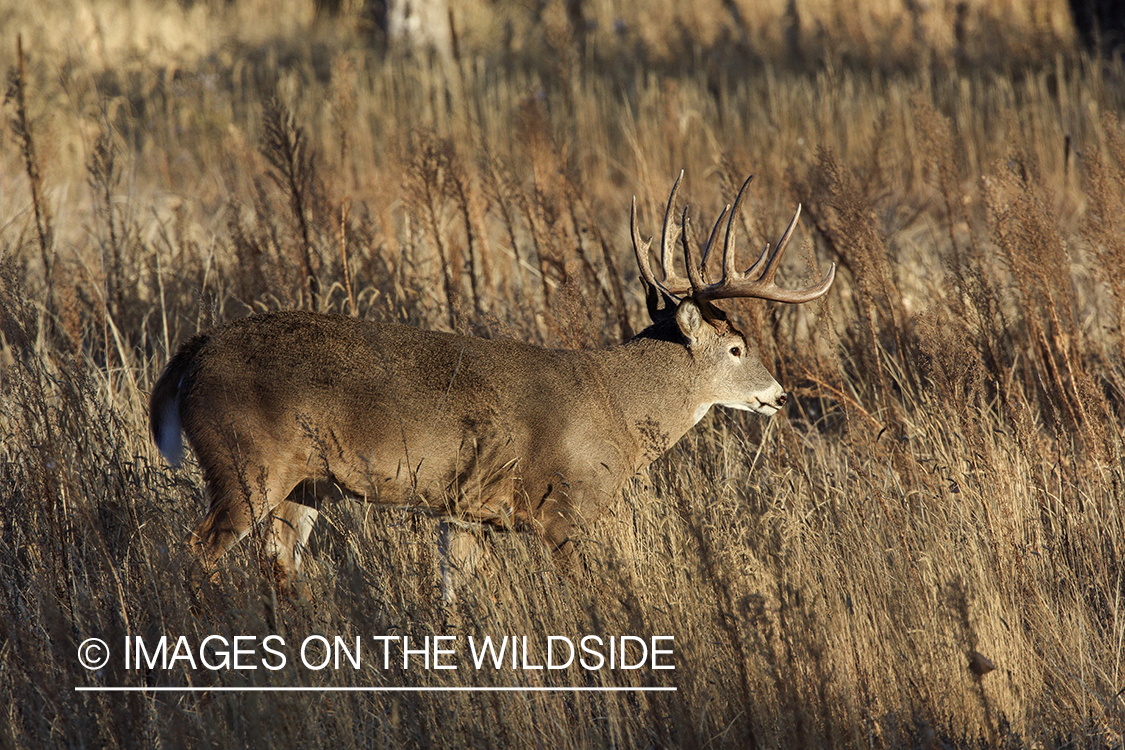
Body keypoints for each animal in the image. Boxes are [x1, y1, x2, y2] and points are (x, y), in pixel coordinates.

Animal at [149, 173, 837, 593]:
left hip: (304, 484)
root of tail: (192, 354)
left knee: (277, 567)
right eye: (737, 347)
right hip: (247, 463)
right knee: (192, 554)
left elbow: (454, 602)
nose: (778, 396)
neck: (617, 409)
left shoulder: (466, 516)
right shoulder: (562, 509)